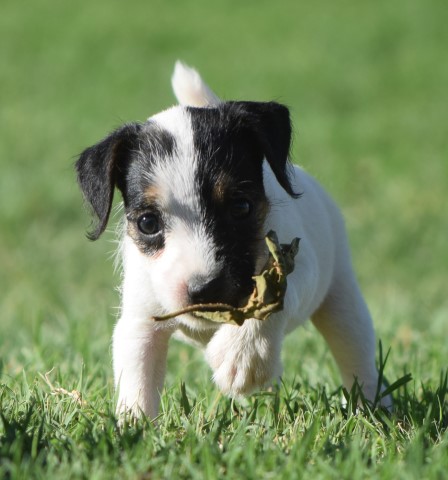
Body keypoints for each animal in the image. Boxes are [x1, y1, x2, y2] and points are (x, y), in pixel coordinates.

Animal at [75, 62, 390, 418]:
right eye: (147, 223)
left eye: (241, 207)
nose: (204, 290)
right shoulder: (140, 321)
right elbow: (137, 380)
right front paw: (134, 425)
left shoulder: (296, 264)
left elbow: (273, 295)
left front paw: (242, 355)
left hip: (342, 298)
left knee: (355, 352)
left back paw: (375, 407)